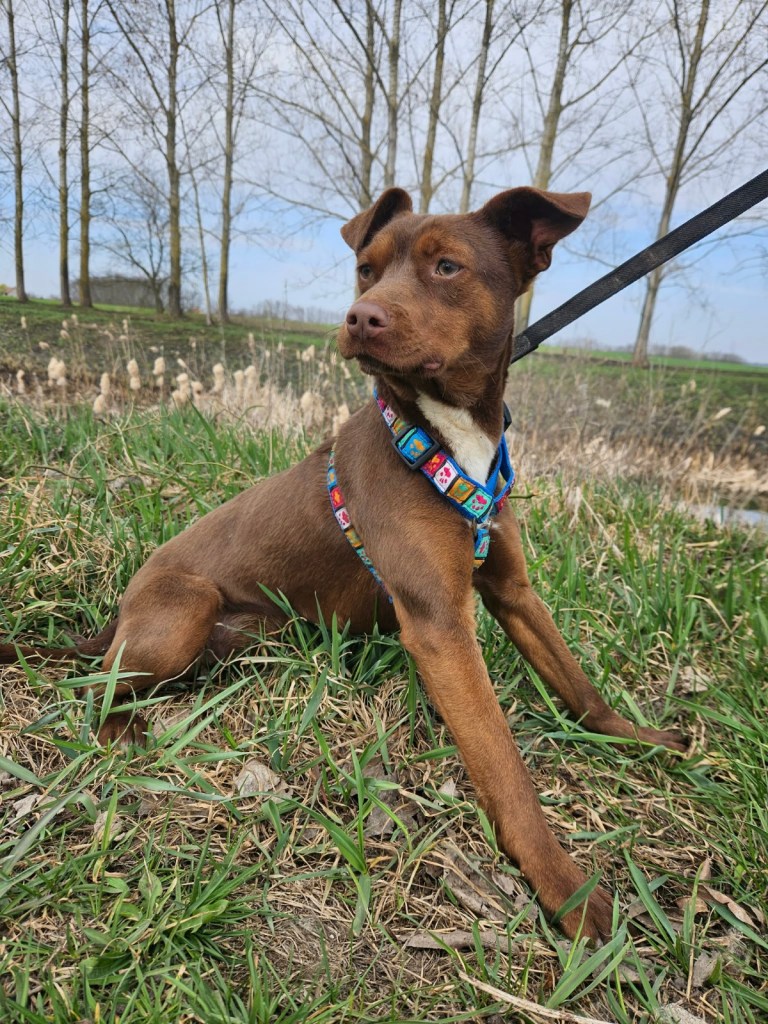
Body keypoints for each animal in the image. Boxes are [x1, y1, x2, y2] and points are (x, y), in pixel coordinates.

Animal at [1, 185, 686, 941]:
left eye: (447, 266)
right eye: (366, 268)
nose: (362, 316)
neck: (443, 437)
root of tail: (118, 612)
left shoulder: (513, 590)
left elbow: (578, 686)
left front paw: (640, 738)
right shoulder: (440, 626)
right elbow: (504, 766)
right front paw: (564, 885)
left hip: (252, 633)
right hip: (184, 608)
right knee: (96, 684)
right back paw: (122, 732)